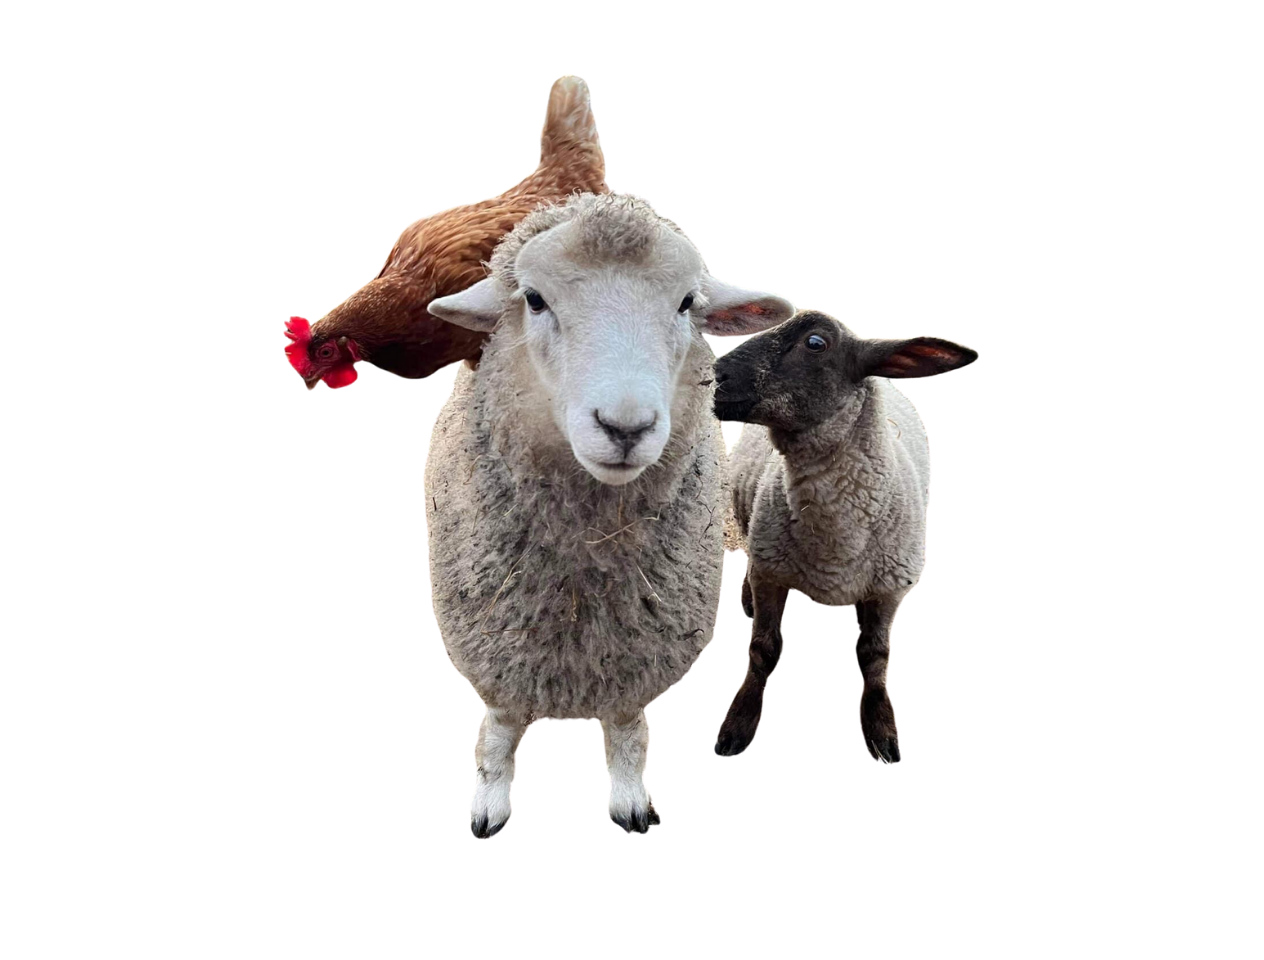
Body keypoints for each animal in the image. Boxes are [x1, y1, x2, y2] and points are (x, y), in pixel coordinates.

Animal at [422, 192, 795, 835]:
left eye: (687, 302)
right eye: (534, 299)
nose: (626, 427)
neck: (585, 566)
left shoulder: (635, 651)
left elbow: (627, 732)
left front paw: (631, 801)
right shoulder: (494, 646)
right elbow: (498, 733)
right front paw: (489, 804)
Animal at [712, 309, 977, 764]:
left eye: (816, 343)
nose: (715, 375)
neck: (835, 547)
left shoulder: (891, 588)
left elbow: (874, 656)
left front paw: (881, 729)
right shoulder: (770, 571)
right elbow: (763, 649)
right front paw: (740, 721)